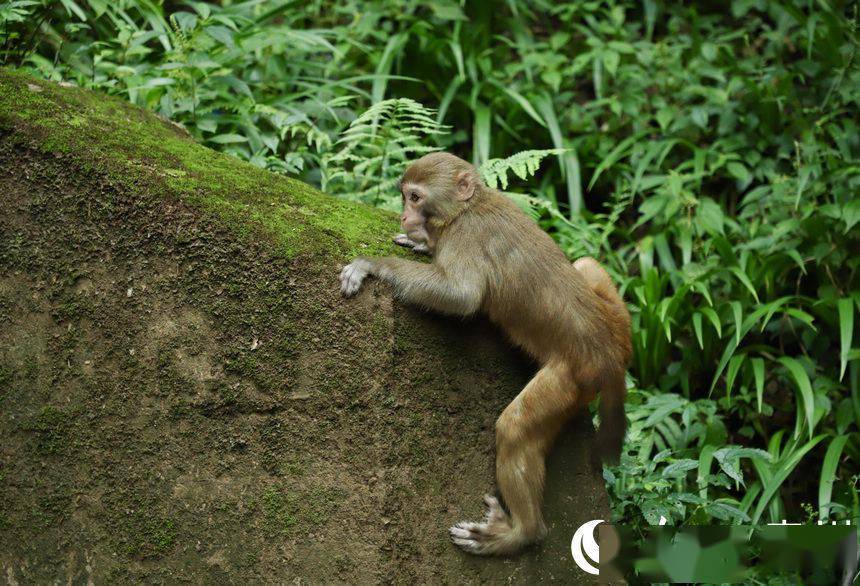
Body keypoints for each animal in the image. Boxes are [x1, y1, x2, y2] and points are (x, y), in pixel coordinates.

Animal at [340, 151, 632, 552]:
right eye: (403, 196)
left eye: (415, 197)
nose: (403, 216)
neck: (466, 208)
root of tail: (610, 354)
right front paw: (422, 243)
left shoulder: (465, 237)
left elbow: (462, 295)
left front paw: (374, 265)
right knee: (585, 263)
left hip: (572, 376)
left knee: (514, 427)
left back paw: (519, 533)